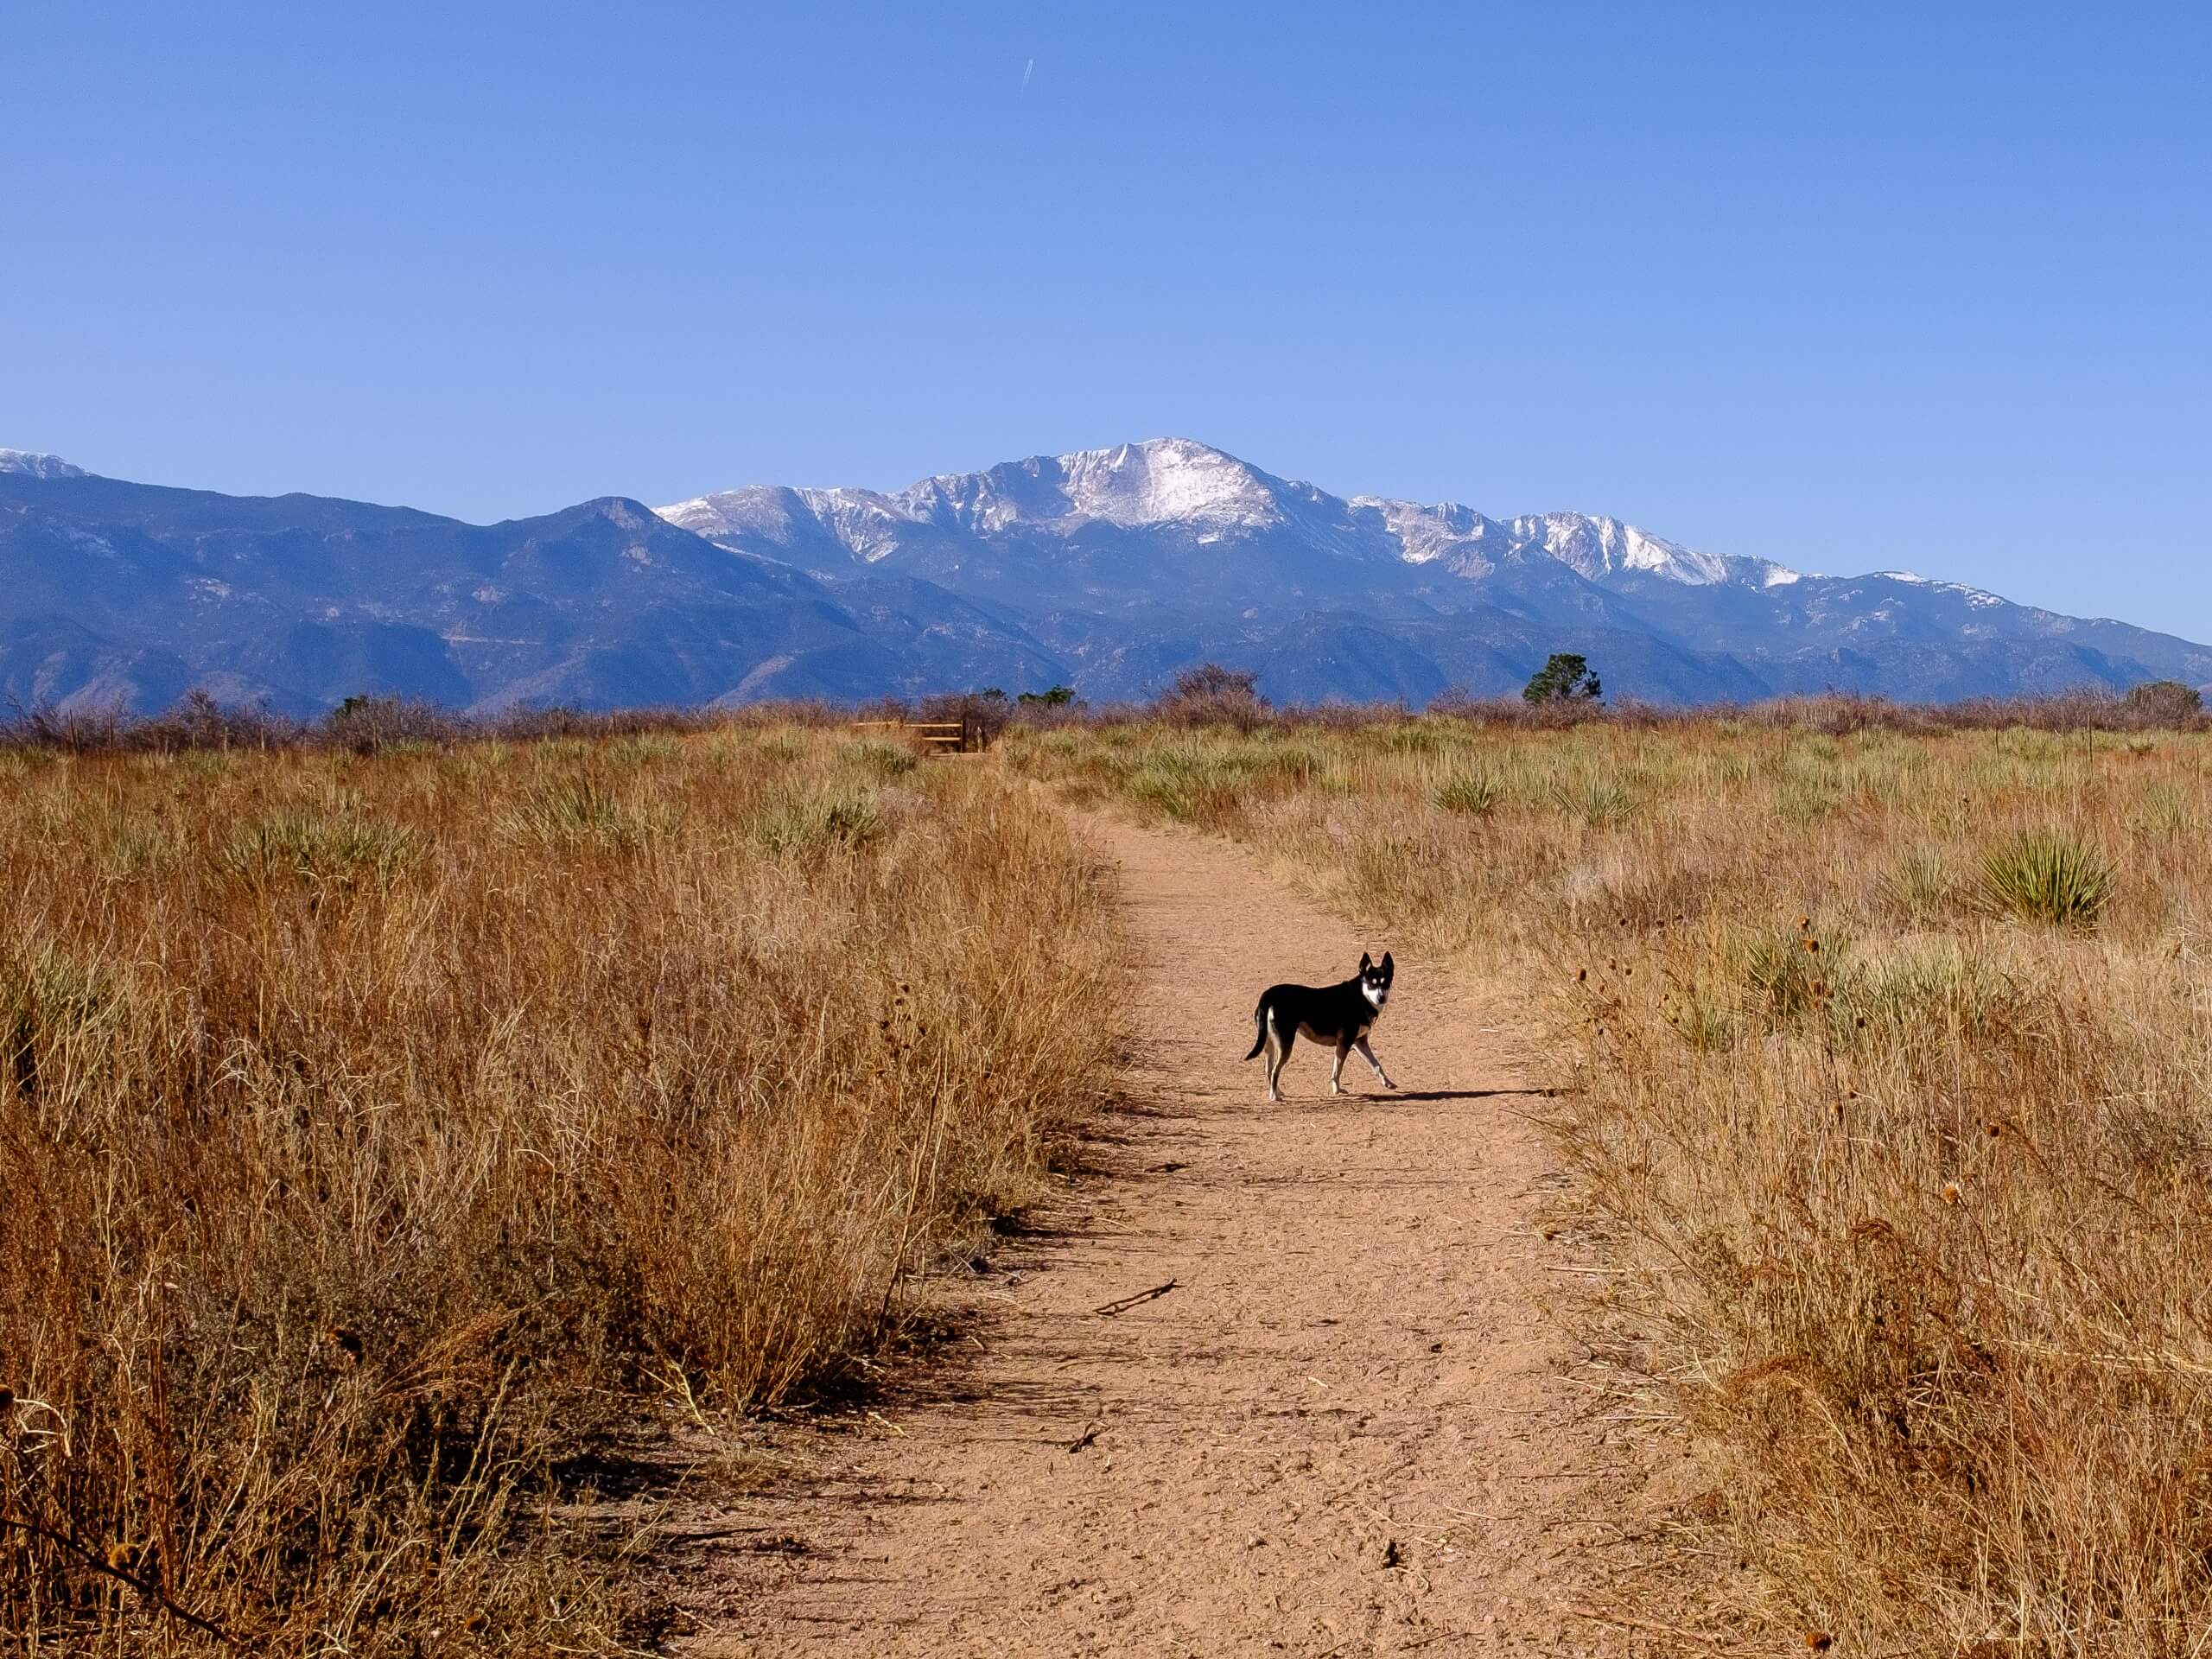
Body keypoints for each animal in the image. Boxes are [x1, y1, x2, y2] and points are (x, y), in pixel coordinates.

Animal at [1247, 960, 1397, 1106]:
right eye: (1372, 984)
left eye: (1386, 983)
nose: (1381, 998)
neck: (1360, 996)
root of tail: (1269, 994)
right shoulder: (1344, 1043)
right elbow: (1337, 1070)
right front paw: (1337, 1090)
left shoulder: (1359, 1043)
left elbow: (1376, 1065)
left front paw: (1388, 1083)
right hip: (1285, 1045)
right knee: (1275, 1071)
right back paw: (1274, 1096)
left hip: (1269, 1043)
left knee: (1269, 1070)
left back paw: (1278, 1091)